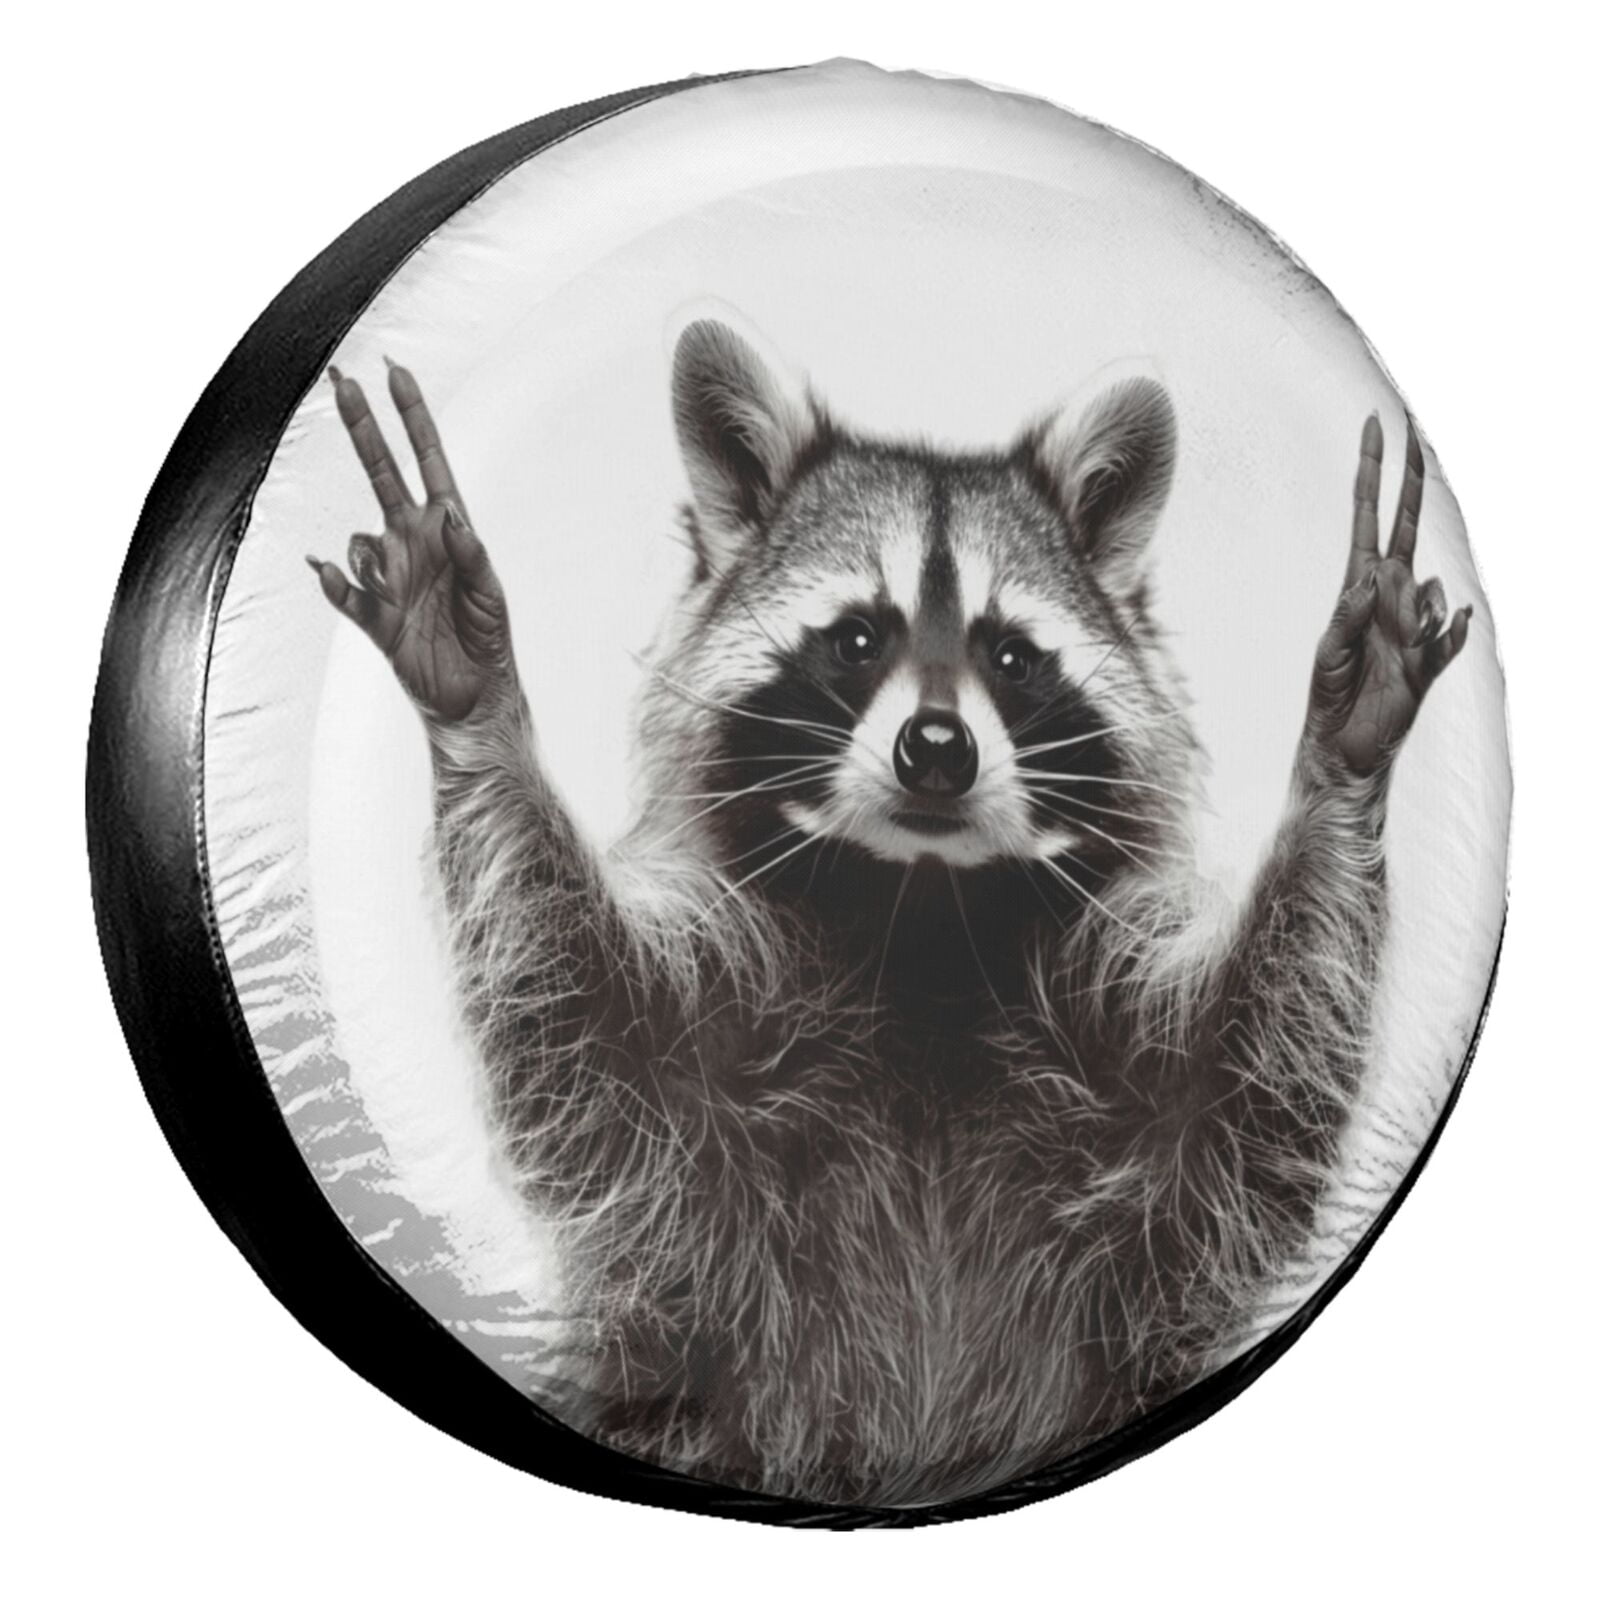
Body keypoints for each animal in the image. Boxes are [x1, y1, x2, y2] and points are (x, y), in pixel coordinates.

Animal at [310, 322, 1470, 1507]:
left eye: (1012, 655)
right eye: (859, 639)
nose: (938, 749)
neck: (920, 910)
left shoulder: (1110, 1026)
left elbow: (1250, 1097)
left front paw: (1342, 756)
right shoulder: (711, 1028)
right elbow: (578, 1032)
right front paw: (479, 703)